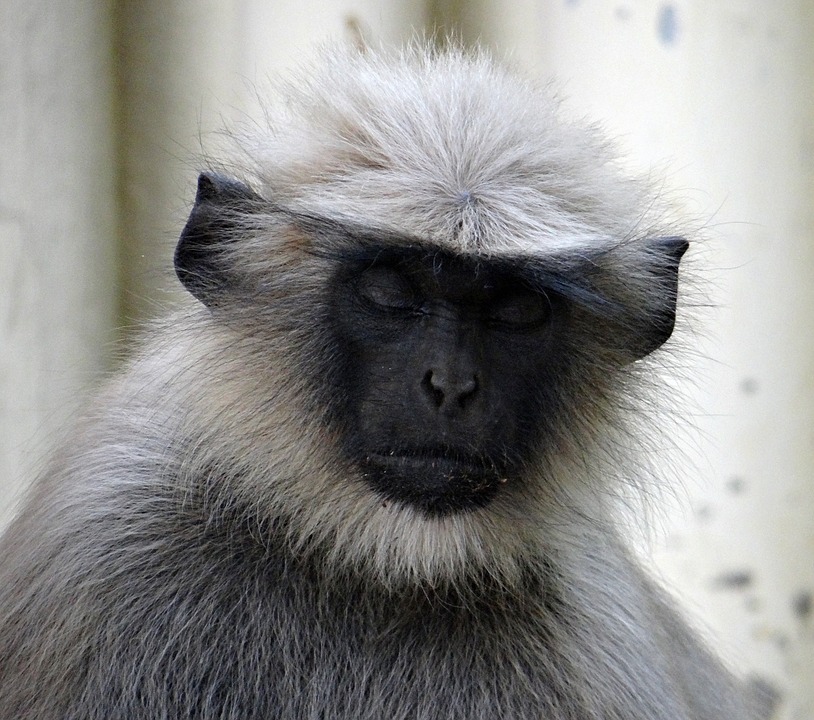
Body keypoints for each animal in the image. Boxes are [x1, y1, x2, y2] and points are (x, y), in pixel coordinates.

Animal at [0, 45, 760, 720]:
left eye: (518, 308)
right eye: (391, 289)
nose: (451, 385)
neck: (369, 557)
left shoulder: (591, 643)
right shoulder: (109, 542)